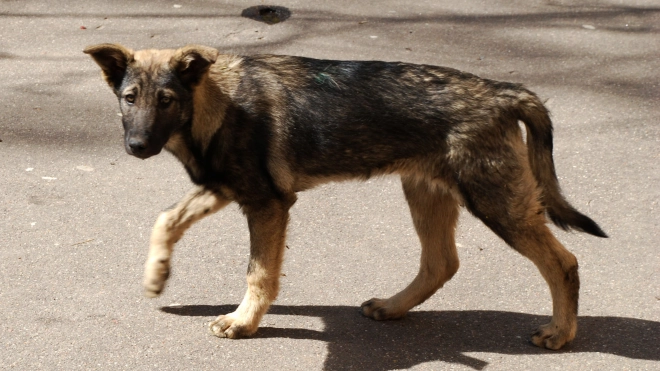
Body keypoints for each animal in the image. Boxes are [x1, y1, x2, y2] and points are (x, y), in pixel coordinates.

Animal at [85, 43, 604, 352]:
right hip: (427, 193)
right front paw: (157, 275)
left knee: (563, 262)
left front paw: (243, 322)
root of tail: (503, 92)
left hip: (496, 202)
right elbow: (167, 219)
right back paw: (393, 307)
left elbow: (259, 274)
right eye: (130, 98)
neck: (216, 101)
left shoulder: (268, 204)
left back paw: (560, 332)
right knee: (441, 263)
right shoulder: (227, 188)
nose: (137, 147)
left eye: (166, 100)